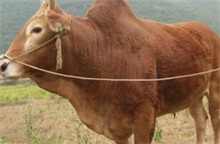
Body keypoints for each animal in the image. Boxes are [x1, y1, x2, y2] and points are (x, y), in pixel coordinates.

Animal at [0, 0, 220, 143]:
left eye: (37, 29)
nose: (3, 65)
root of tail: (210, 33)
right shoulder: (118, 127)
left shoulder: (145, 117)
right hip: (193, 95)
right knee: (200, 120)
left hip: (215, 90)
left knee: (215, 120)